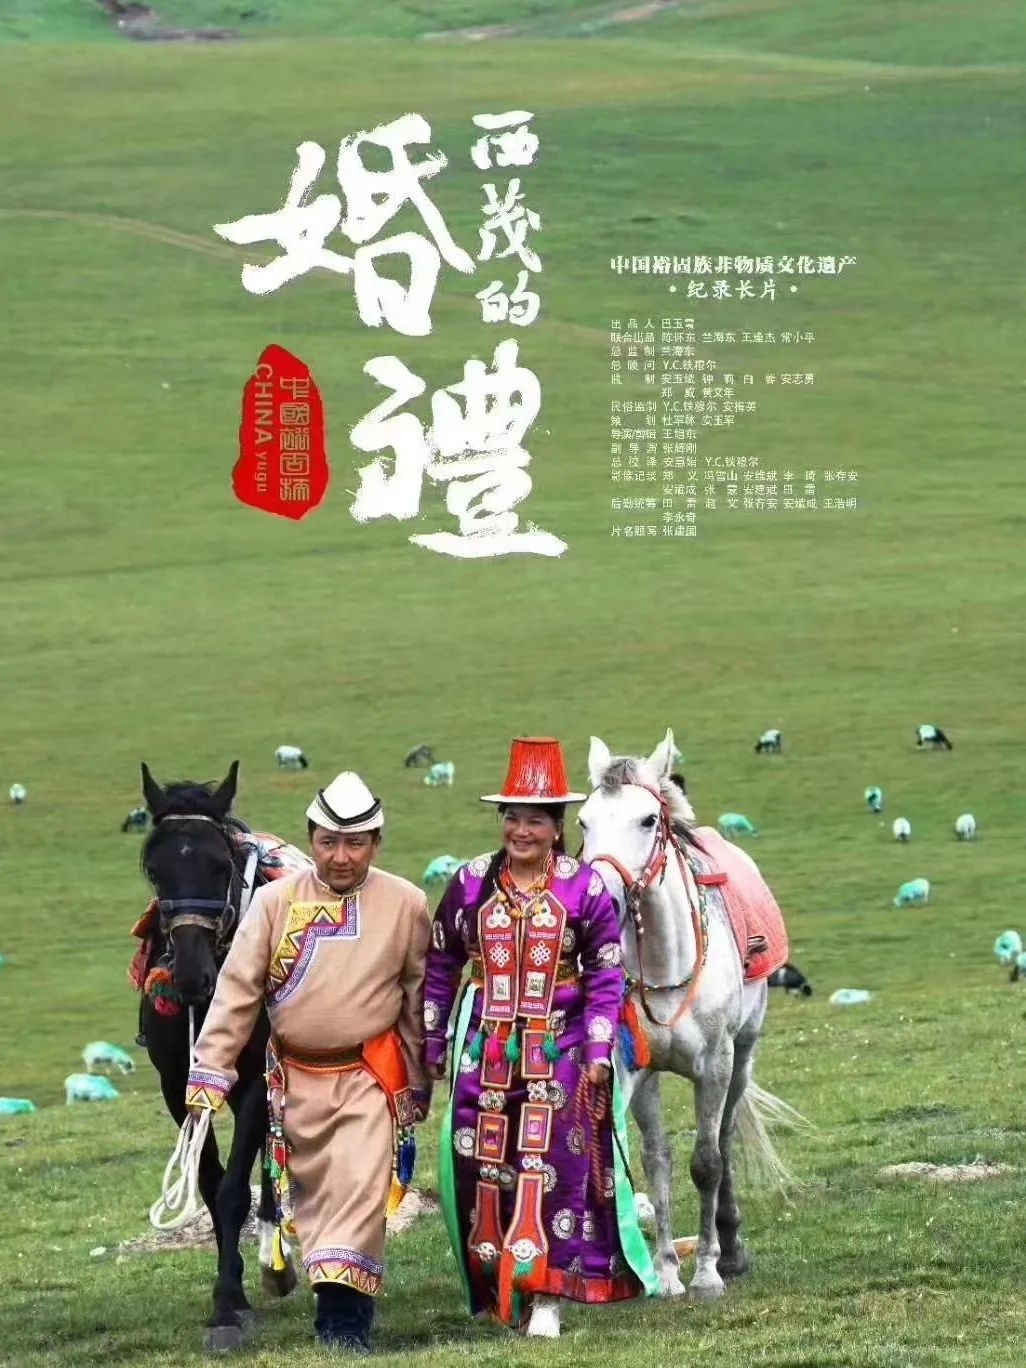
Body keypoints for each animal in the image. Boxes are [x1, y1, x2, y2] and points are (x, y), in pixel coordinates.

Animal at [138, 760, 296, 1351]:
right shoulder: (176, 1084)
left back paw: (277, 1260)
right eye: (154, 869)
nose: (190, 976)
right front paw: (227, 1293)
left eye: (219, 865)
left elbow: (232, 1192)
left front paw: (229, 1306)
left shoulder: (254, 1080)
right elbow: (207, 1183)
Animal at [577, 730, 804, 1305]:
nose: (603, 901)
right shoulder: (634, 1069)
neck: (665, 964)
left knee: (723, 1137)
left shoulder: (714, 1065)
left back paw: (732, 1246)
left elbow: (706, 1162)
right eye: (584, 821)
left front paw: (706, 1272)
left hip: (742, 1057)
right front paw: (664, 1275)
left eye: (646, 820)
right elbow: (655, 1164)